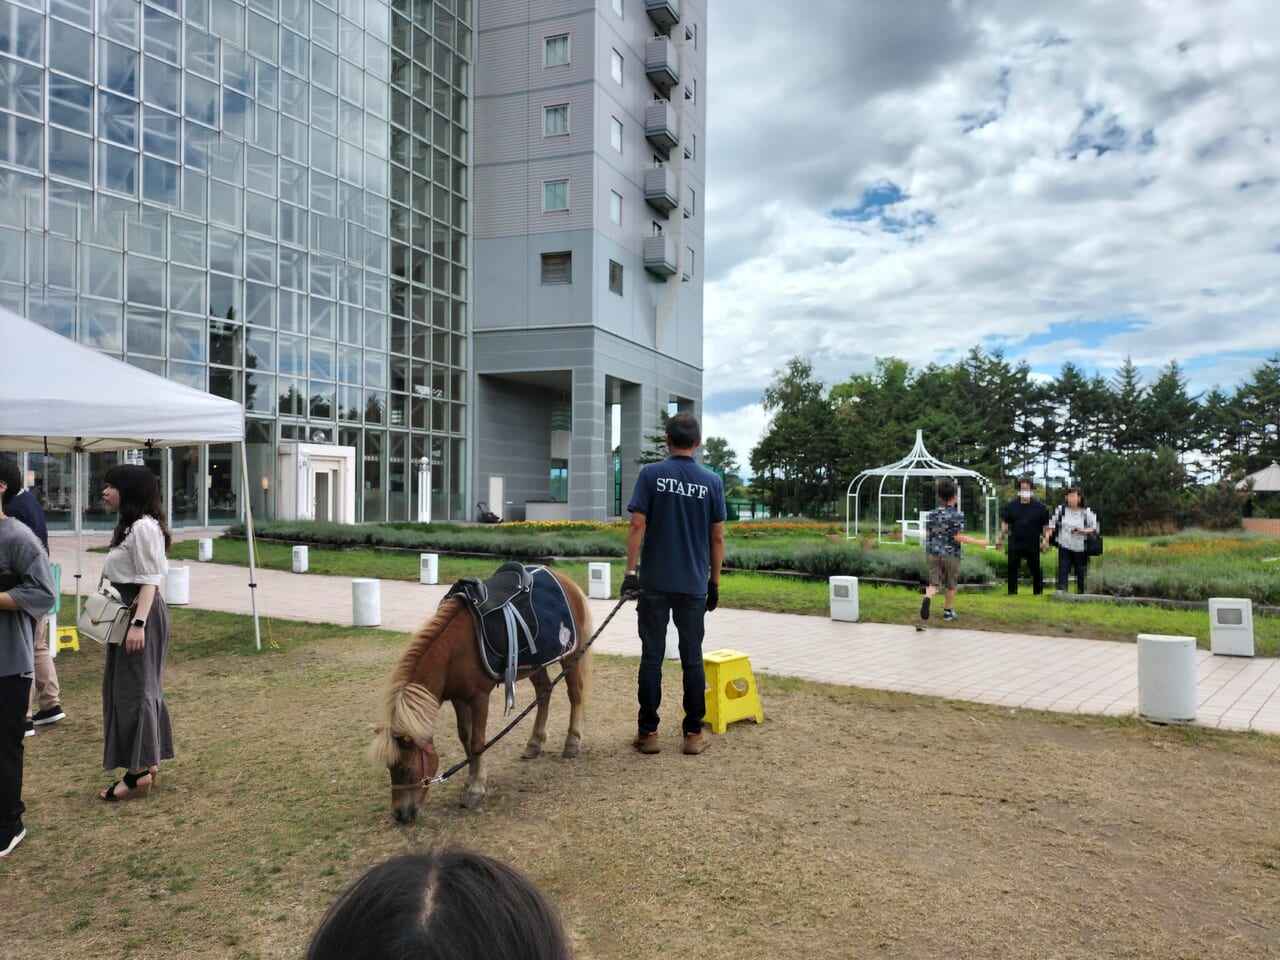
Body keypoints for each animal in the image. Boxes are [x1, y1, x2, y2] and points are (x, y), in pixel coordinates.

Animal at [368, 568, 591, 824]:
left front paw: (476, 788)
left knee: (575, 694)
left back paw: (572, 743)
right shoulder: (457, 697)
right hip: (536, 663)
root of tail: (565, 579)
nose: (400, 814)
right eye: (388, 767)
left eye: (405, 769)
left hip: (572, 653)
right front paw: (470, 777)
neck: (452, 650)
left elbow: (477, 741)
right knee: (544, 692)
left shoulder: (479, 696)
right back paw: (534, 743)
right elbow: (465, 736)